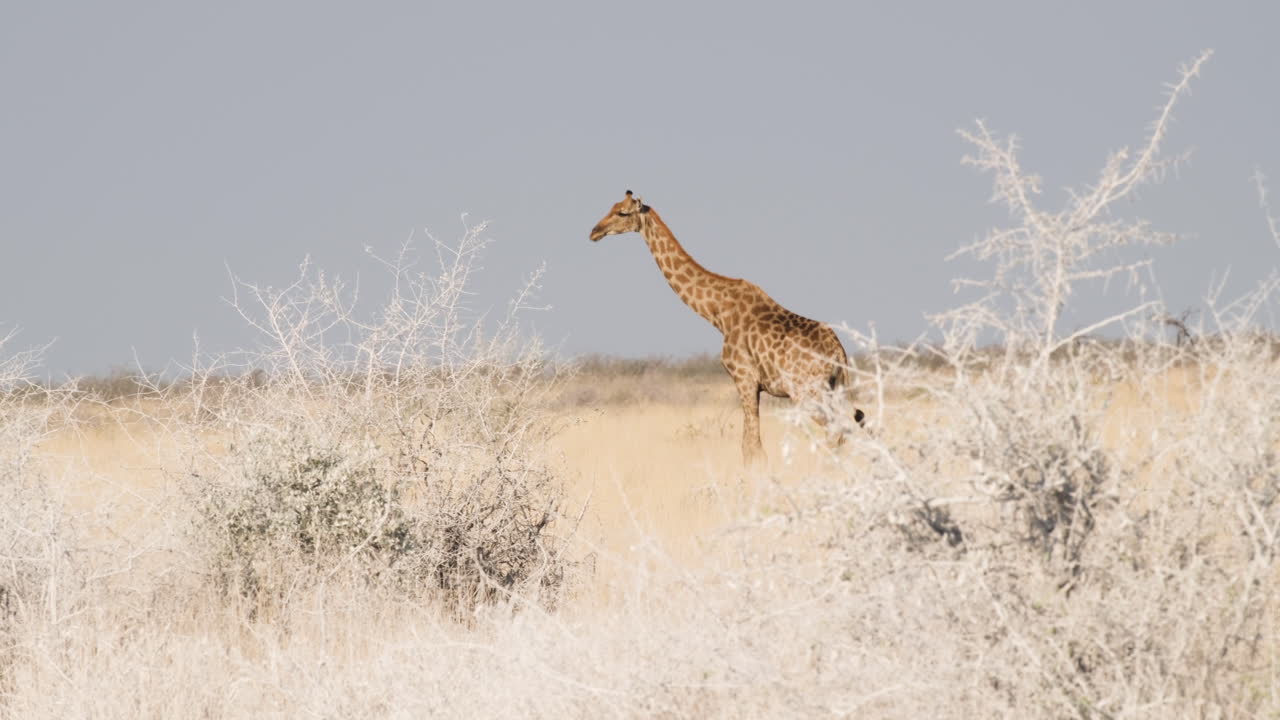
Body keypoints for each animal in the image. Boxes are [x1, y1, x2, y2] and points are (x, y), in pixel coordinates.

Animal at [590, 190, 865, 464]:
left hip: (806, 392)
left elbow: (752, 448)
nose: (594, 231)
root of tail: (838, 353)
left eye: (622, 213)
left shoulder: (744, 378)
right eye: (612, 207)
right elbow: (751, 445)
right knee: (847, 427)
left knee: (836, 430)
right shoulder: (753, 385)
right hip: (833, 389)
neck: (718, 312)